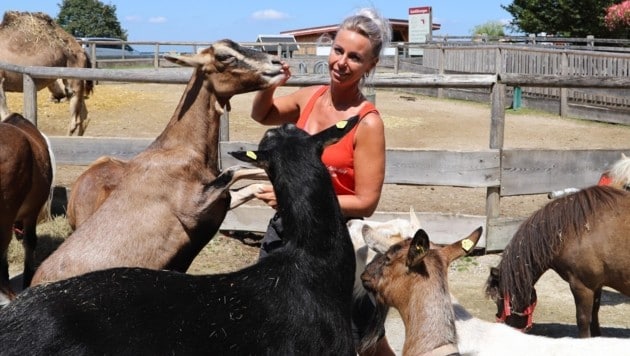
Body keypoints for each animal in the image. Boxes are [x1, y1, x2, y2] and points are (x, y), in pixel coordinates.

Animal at [31, 39, 284, 286]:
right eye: (224, 55)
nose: (278, 64)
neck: (179, 147)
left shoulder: (222, 199)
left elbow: (250, 184)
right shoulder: (193, 206)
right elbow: (236, 169)